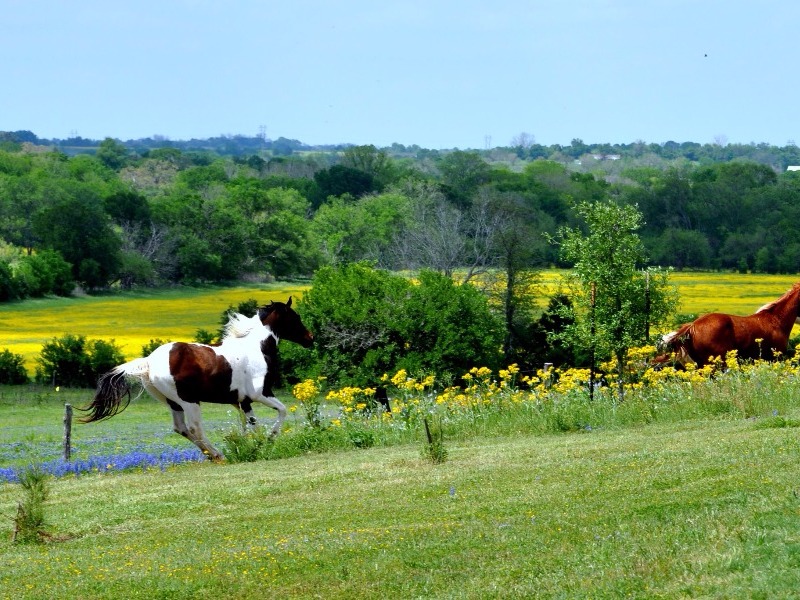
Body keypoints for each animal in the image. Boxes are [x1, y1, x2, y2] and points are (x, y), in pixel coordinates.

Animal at [79, 298, 312, 460]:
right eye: (295, 317)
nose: (310, 339)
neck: (256, 347)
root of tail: (149, 361)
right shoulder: (260, 394)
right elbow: (281, 411)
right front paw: (269, 440)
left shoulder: (242, 402)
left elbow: (249, 425)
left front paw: (251, 446)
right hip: (189, 402)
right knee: (194, 428)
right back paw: (218, 455)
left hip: (173, 403)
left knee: (181, 428)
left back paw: (213, 455)